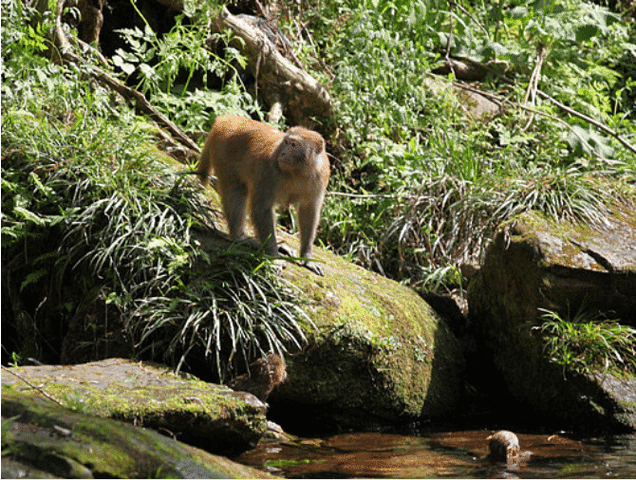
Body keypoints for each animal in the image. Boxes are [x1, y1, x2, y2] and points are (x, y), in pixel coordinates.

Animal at [196, 114, 330, 276]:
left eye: (293, 145)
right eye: (286, 143)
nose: (283, 153)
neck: (298, 172)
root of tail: (228, 119)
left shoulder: (321, 177)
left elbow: (309, 213)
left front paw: (306, 257)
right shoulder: (268, 170)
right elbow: (262, 209)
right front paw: (273, 257)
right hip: (223, 152)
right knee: (236, 191)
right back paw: (240, 237)